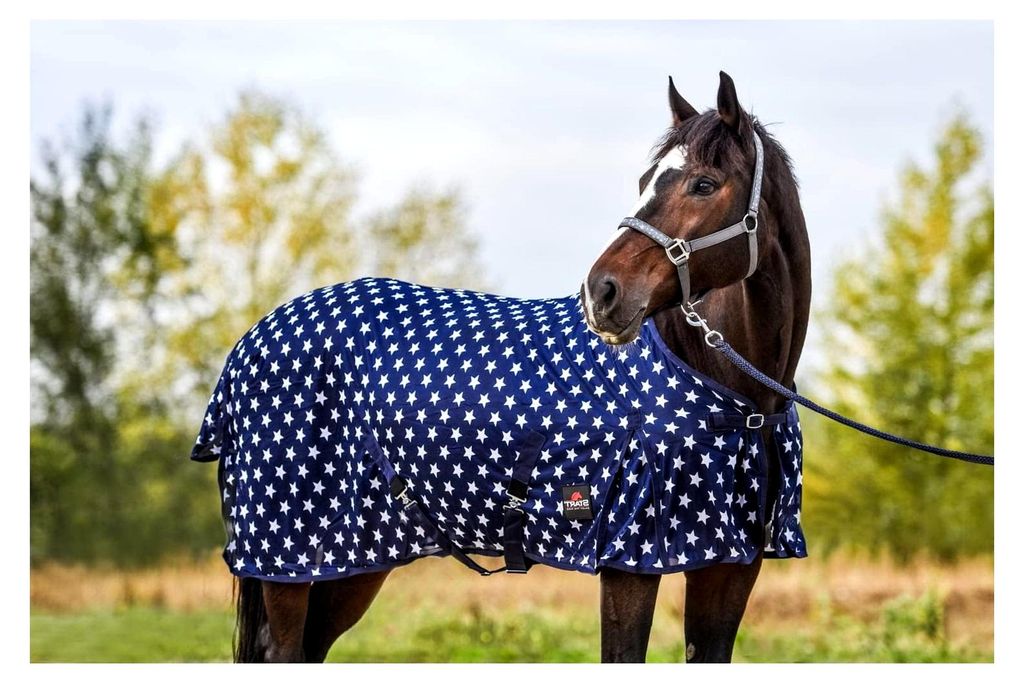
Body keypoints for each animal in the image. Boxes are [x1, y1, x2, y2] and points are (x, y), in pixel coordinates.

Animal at [194, 70, 810, 663]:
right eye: (644, 182)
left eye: (704, 184)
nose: (601, 293)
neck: (728, 390)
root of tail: (253, 339)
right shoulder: (628, 562)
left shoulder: (732, 568)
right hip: (287, 558)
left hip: (351, 561)